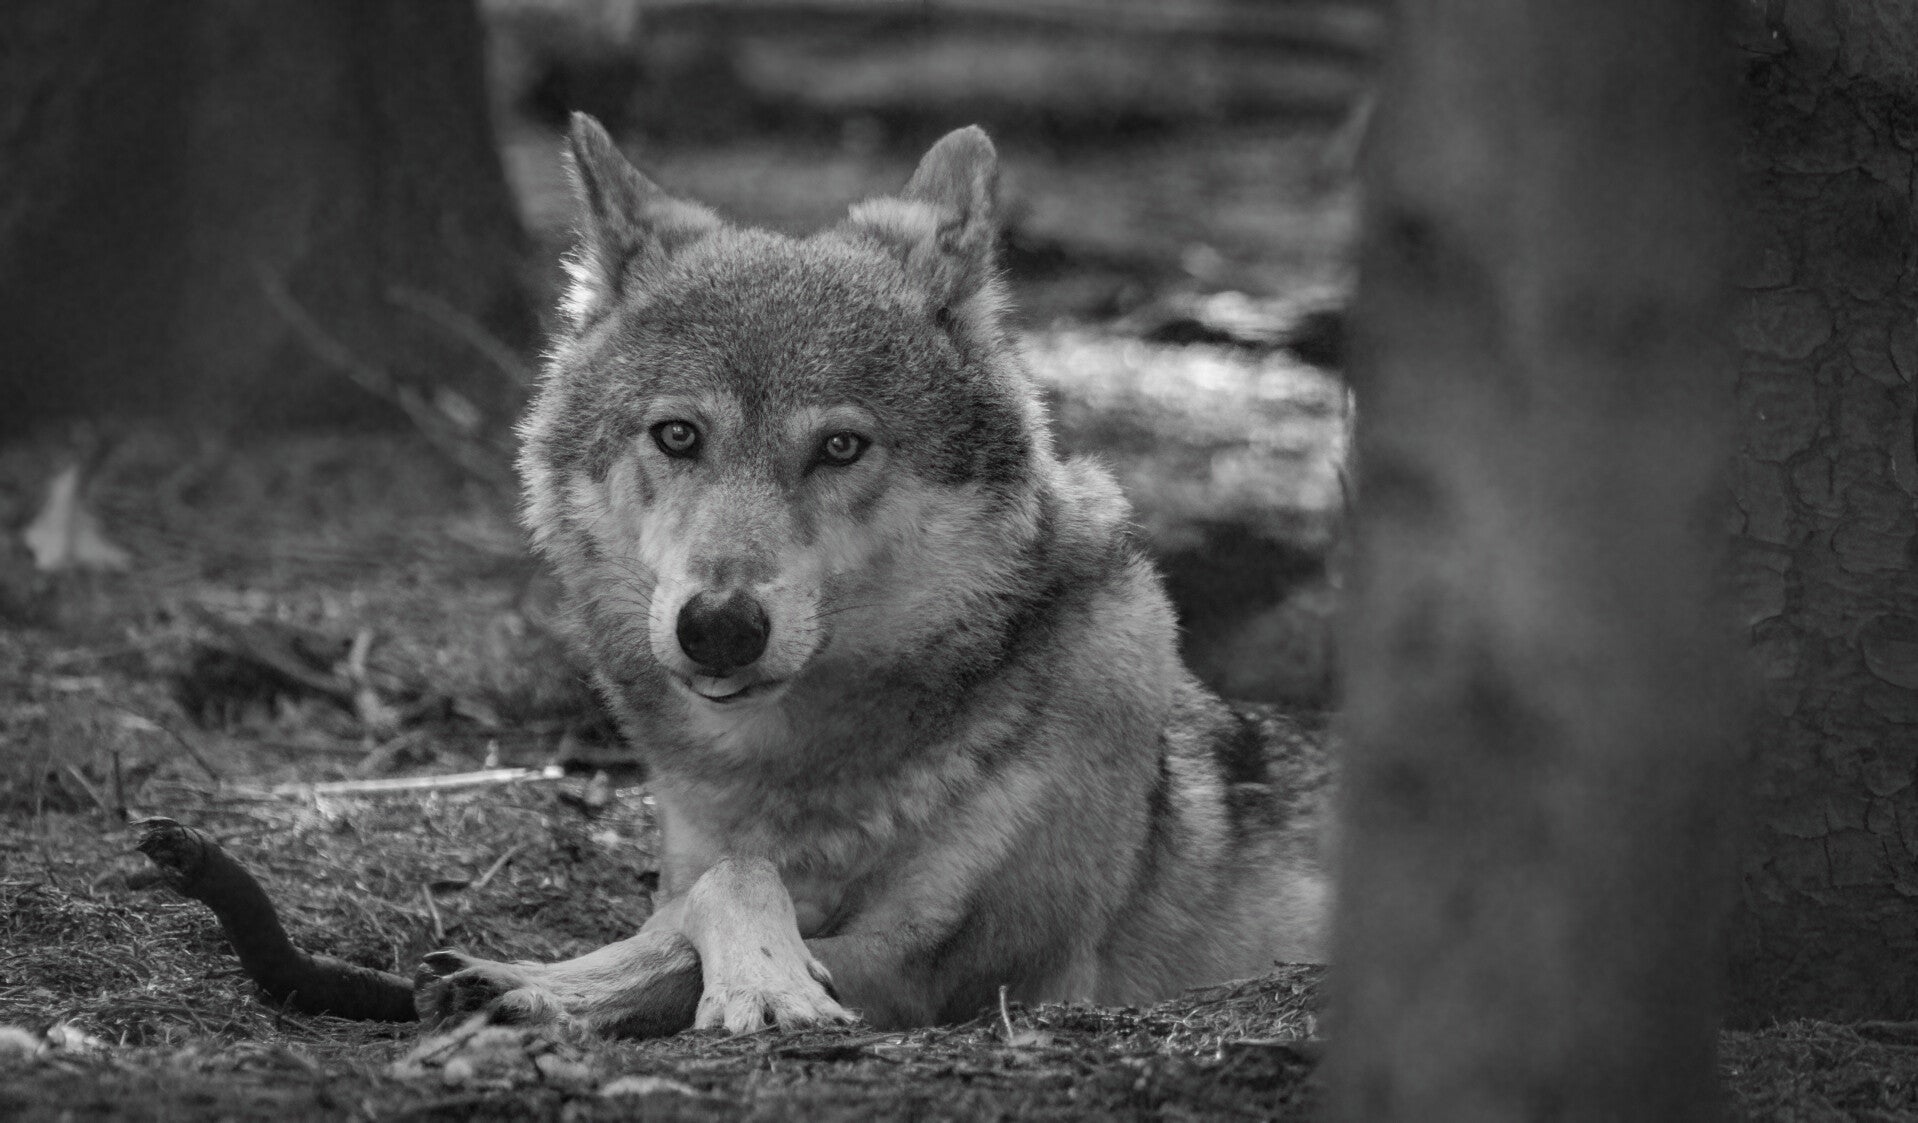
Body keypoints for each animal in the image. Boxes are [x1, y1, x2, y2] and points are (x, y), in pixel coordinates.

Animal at [414, 113, 1333, 1036]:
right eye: (677, 435)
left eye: (840, 445)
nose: (719, 626)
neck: (803, 774)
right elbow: (696, 900)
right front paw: (526, 976)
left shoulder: (962, 971)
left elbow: (729, 891)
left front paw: (765, 985)